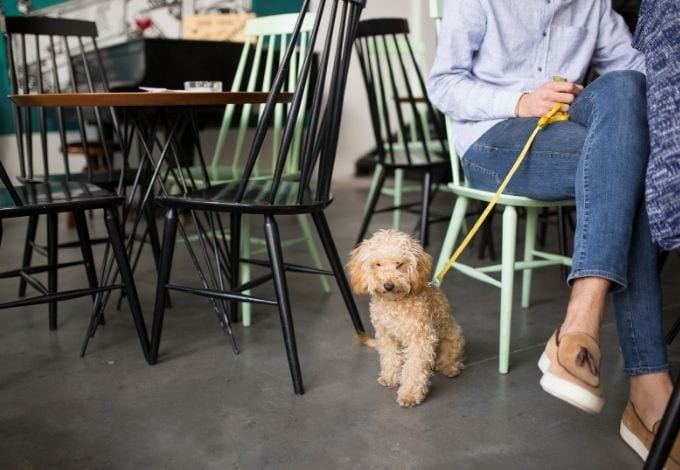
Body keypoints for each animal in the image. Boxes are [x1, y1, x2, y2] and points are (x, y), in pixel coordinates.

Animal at [348, 229, 464, 406]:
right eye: (378, 264)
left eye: (399, 264)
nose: (388, 285)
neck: (394, 304)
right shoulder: (386, 336)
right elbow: (390, 357)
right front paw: (390, 377)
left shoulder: (421, 340)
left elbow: (414, 368)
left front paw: (410, 394)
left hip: (453, 338)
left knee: (449, 359)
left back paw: (450, 368)